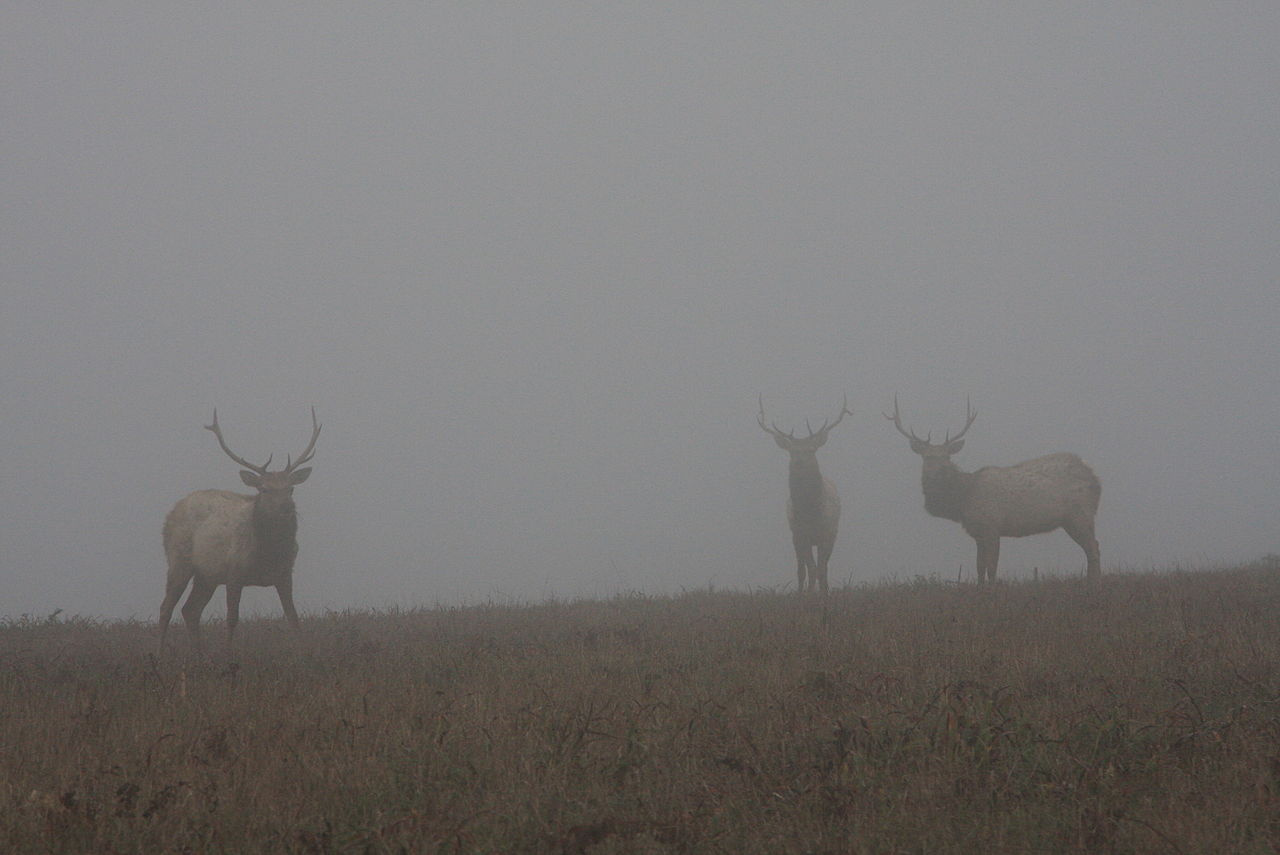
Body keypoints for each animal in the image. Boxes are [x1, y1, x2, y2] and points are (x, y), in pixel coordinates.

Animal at [158, 409, 320, 655]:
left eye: (291, 488)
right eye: (264, 489)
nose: (286, 508)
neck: (268, 556)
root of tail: (171, 513)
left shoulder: (285, 574)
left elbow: (293, 617)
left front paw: (304, 652)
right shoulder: (234, 572)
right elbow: (232, 618)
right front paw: (227, 653)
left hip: (207, 575)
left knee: (190, 610)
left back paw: (199, 654)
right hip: (179, 561)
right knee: (166, 607)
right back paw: (159, 653)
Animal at [752, 396, 855, 591]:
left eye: (811, 449)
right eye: (792, 451)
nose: (799, 462)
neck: (811, 514)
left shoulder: (827, 533)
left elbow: (821, 568)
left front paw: (823, 593)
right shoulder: (800, 535)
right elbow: (809, 569)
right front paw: (808, 594)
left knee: (823, 567)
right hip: (796, 538)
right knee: (802, 569)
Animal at [880, 399, 1100, 583]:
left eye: (946, 457)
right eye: (926, 457)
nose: (936, 474)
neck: (963, 500)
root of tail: (1095, 478)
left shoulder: (992, 525)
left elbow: (992, 567)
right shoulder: (977, 532)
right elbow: (980, 567)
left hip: (1079, 515)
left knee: (1093, 548)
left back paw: (1093, 583)